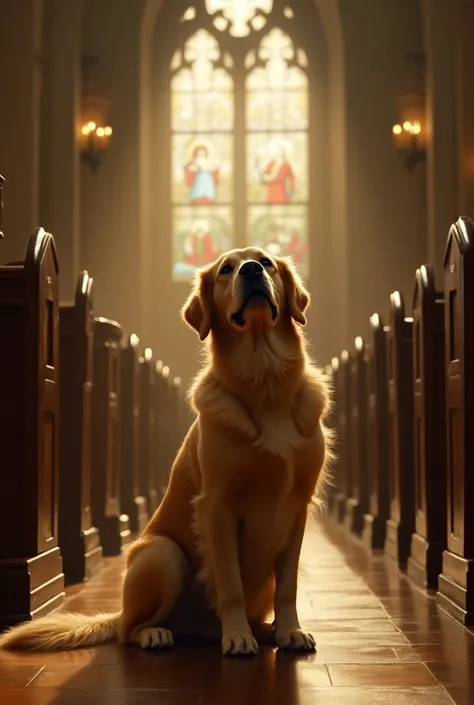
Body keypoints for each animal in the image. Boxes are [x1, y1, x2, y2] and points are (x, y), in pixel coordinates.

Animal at [0, 246, 332, 656]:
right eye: (226, 269)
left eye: (266, 262)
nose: (252, 270)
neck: (265, 378)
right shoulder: (216, 505)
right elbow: (230, 583)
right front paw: (238, 636)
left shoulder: (296, 505)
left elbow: (288, 585)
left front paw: (290, 631)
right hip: (162, 554)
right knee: (129, 629)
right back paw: (160, 634)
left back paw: (264, 630)